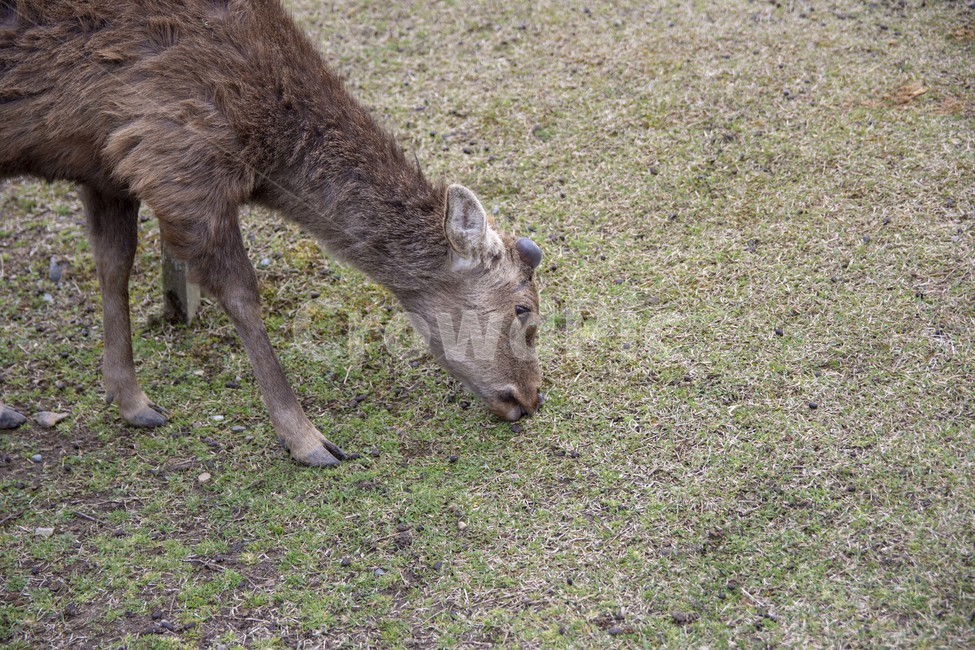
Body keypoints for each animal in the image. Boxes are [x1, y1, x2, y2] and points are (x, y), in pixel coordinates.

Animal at [0, 0, 544, 467]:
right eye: (523, 308)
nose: (531, 397)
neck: (266, 145)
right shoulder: (175, 159)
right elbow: (242, 295)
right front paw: (308, 440)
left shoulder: (108, 161)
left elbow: (114, 265)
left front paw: (130, 401)